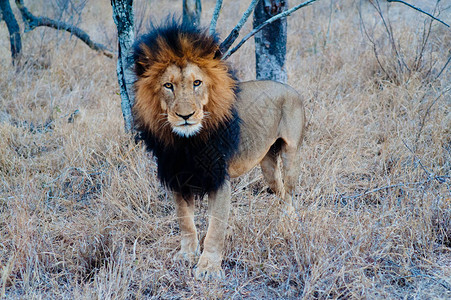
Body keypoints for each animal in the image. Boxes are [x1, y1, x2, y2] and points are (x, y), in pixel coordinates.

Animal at [132, 19, 306, 280]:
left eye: (197, 83)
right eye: (168, 86)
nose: (186, 116)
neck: (186, 144)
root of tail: (290, 88)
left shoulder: (219, 178)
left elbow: (216, 227)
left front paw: (208, 268)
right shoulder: (178, 178)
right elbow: (185, 221)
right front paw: (187, 255)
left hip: (291, 154)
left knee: (291, 192)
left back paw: (289, 224)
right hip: (267, 165)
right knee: (281, 190)